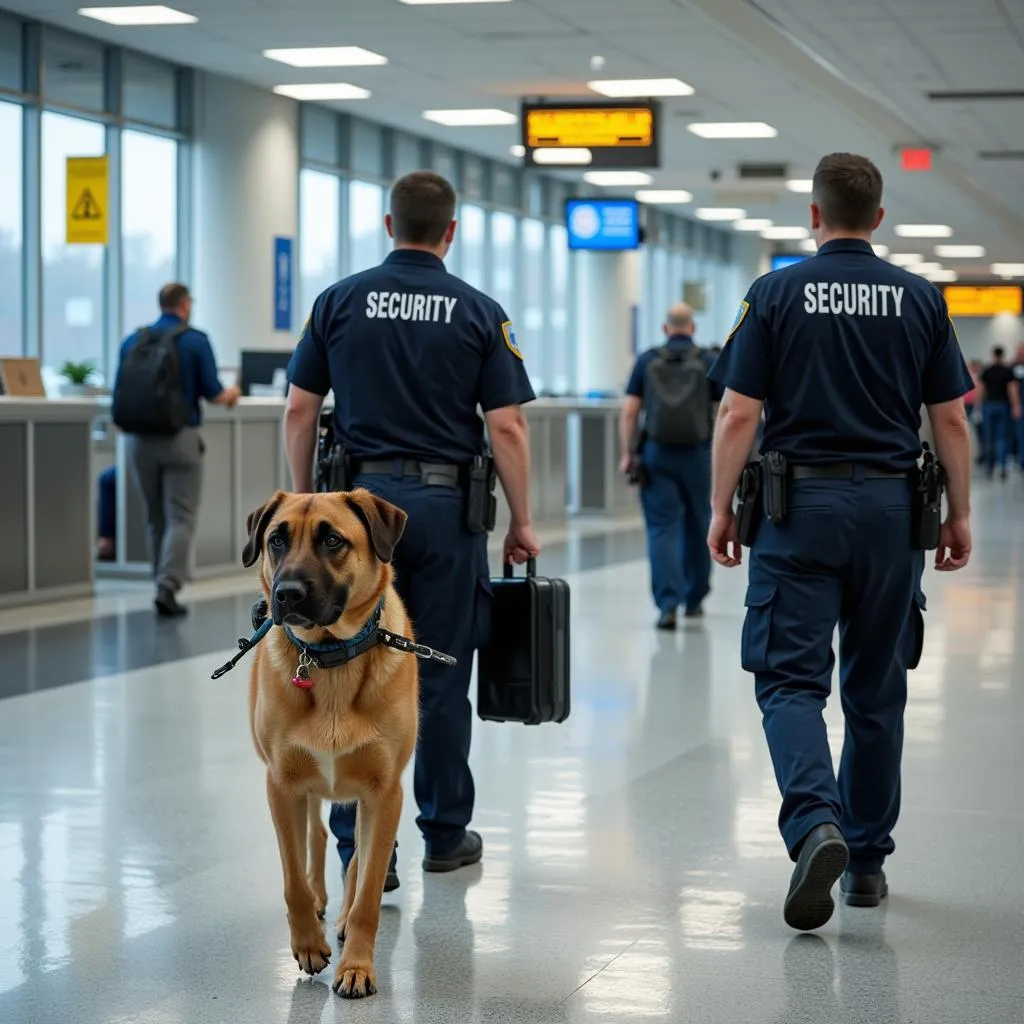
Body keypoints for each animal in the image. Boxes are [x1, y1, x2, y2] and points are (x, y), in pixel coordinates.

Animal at [242, 487, 415, 999]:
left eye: (333, 540)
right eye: (276, 540)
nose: (286, 594)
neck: (328, 657)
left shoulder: (385, 793)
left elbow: (368, 887)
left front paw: (356, 965)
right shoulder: (281, 786)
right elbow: (293, 879)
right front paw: (308, 945)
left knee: (355, 857)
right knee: (315, 838)